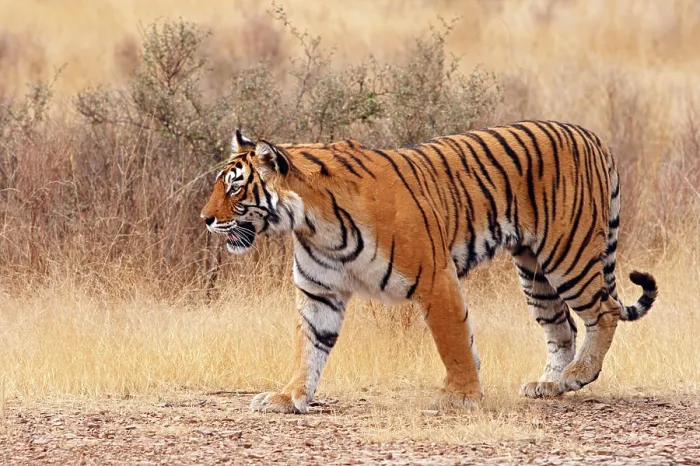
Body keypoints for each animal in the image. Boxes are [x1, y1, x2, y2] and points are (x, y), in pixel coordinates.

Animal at [200, 121, 658, 413]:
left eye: (235, 188)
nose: (204, 218)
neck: (313, 223)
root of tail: (593, 136)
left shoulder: (435, 277)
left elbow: (453, 341)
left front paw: (461, 396)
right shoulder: (319, 292)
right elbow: (308, 347)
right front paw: (288, 396)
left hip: (568, 255)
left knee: (604, 311)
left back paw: (579, 374)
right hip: (533, 270)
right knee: (562, 328)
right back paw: (550, 384)